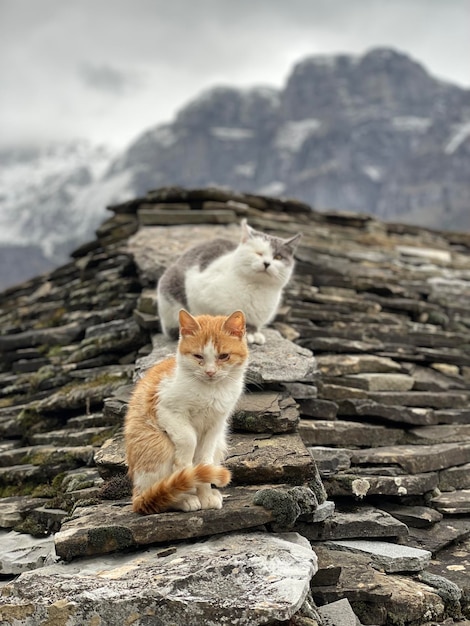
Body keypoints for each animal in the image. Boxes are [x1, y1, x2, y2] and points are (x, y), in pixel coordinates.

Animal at [125, 306, 250, 512]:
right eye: (198, 356)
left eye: (223, 356)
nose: (210, 372)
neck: (210, 391)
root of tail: (136, 496)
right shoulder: (166, 409)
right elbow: (188, 440)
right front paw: (184, 470)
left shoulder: (216, 425)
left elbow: (204, 463)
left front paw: (206, 496)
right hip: (158, 444)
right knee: (158, 494)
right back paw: (182, 498)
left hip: (220, 443)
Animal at [156, 219, 300, 344]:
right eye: (258, 253)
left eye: (278, 257)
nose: (267, 263)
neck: (257, 287)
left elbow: (251, 324)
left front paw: (253, 333)